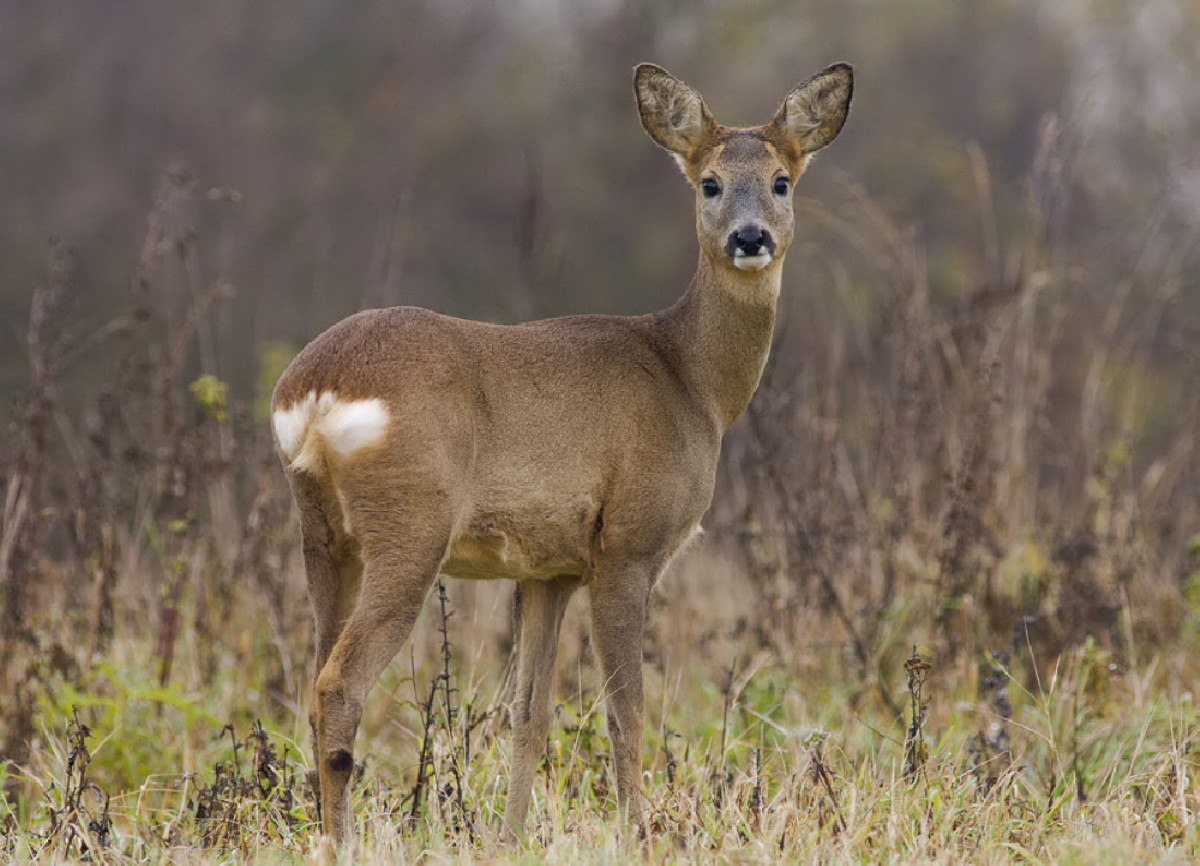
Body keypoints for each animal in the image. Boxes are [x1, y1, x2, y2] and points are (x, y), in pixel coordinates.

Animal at [272, 57, 854, 839]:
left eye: (782, 180)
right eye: (709, 182)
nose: (751, 237)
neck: (690, 379)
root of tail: (317, 389)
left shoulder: (548, 569)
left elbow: (528, 713)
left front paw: (511, 835)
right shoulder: (628, 544)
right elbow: (626, 711)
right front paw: (638, 833)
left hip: (324, 536)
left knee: (313, 678)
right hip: (411, 525)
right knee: (338, 683)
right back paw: (344, 841)